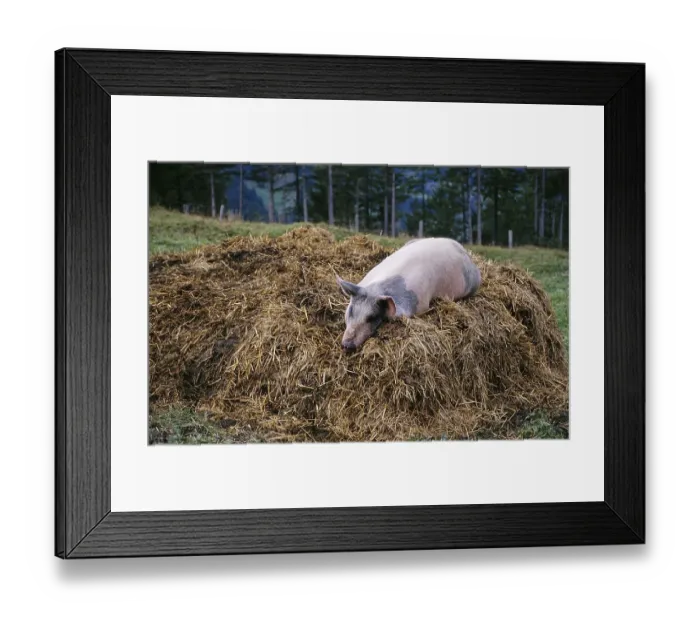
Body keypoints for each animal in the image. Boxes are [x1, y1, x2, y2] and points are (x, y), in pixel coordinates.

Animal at [335, 237, 481, 351]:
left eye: (372, 317)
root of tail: (463, 250)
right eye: (351, 311)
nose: (347, 345)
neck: (377, 290)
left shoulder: (421, 304)